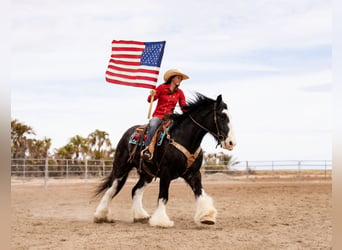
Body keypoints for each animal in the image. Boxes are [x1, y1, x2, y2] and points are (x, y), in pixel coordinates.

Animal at [93, 93, 235, 227]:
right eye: (222, 116)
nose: (231, 142)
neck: (183, 138)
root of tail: (128, 133)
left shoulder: (194, 173)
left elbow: (200, 193)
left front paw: (206, 217)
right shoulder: (166, 173)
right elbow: (163, 196)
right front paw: (161, 221)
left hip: (147, 174)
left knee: (135, 190)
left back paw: (140, 216)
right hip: (121, 167)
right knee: (111, 190)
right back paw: (100, 216)